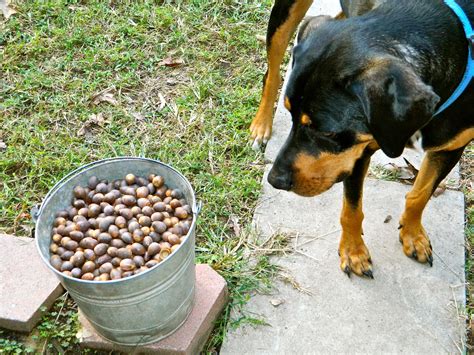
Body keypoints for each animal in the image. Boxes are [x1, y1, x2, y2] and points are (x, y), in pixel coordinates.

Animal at [264, 0, 472, 278]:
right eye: (289, 114)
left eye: (326, 133)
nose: (274, 180)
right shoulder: (356, 154)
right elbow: (351, 210)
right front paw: (354, 253)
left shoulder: (450, 148)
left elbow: (420, 195)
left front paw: (413, 235)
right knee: (272, 70)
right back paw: (260, 126)